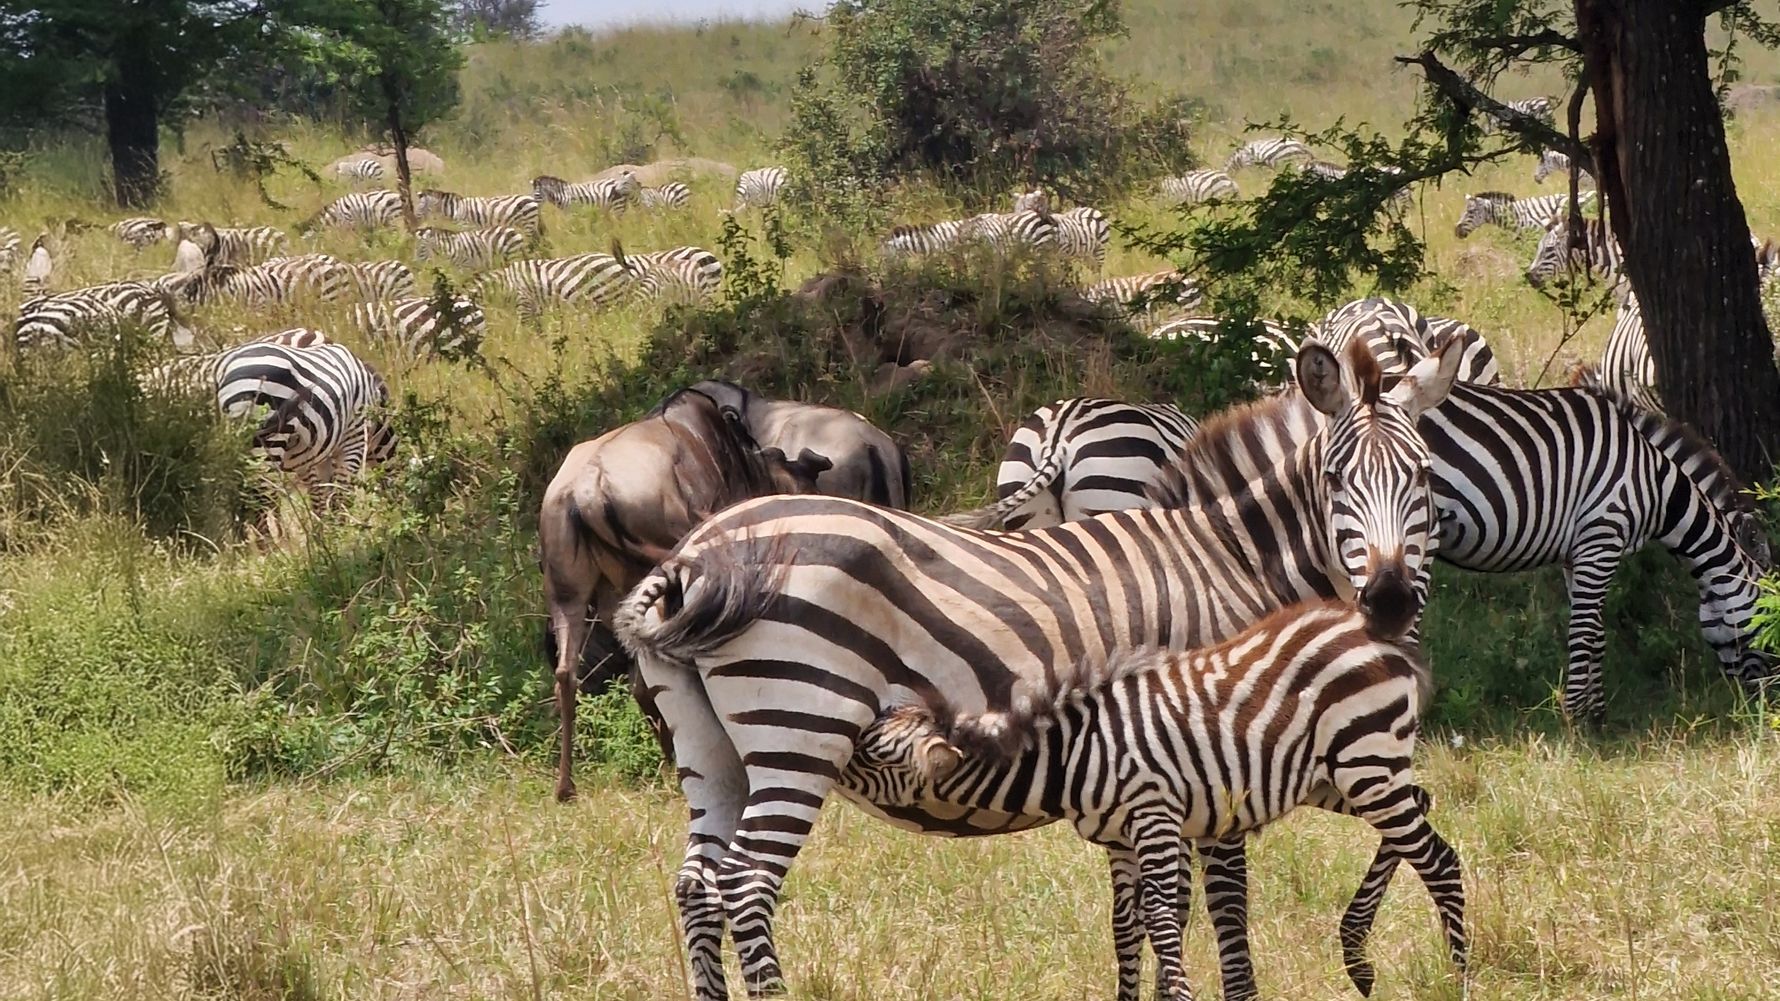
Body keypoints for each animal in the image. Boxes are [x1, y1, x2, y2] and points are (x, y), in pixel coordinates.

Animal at [216, 341, 396, 509]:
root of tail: (228, 369)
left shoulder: (311, 456)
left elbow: (322, 495)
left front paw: (325, 522)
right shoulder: (353, 440)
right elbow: (340, 496)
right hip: (267, 442)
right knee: (263, 500)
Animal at [840, 601, 1467, 1001]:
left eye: (871, 756)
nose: (832, 756)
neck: (1072, 755)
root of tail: (1376, 634)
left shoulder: (1154, 817)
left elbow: (1162, 918)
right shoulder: (1118, 839)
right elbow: (1125, 926)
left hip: (1365, 763)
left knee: (1441, 863)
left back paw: (1455, 977)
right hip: (1343, 776)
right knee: (1423, 803)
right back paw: (1357, 953)